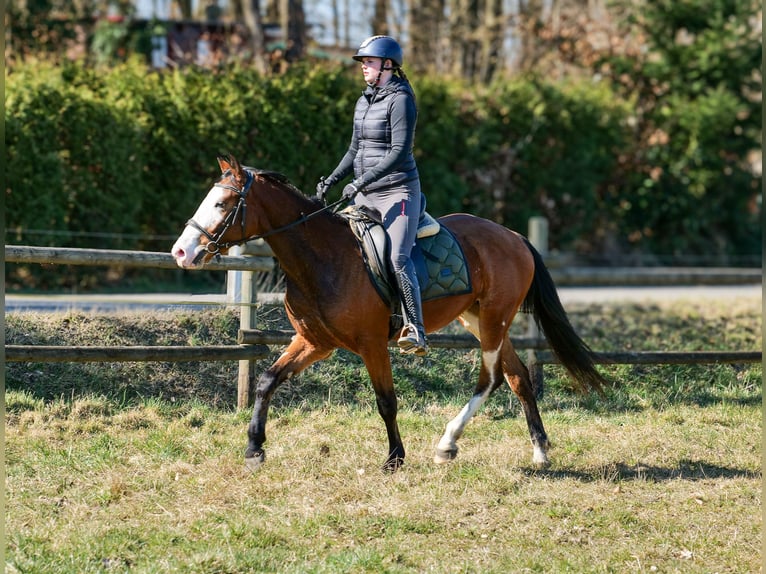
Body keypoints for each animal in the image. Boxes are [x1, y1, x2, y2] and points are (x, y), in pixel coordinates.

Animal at [171, 154, 608, 472]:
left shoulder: (371, 345)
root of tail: (514, 236)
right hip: (479, 319)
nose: (180, 252)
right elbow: (266, 381)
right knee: (517, 377)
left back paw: (448, 442)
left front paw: (395, 458)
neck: (323, 257)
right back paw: (538, 451)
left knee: (491, 377)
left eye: (222, 203)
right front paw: (254, 449)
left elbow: (386, 401)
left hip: (494, 319)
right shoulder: (314, 342)